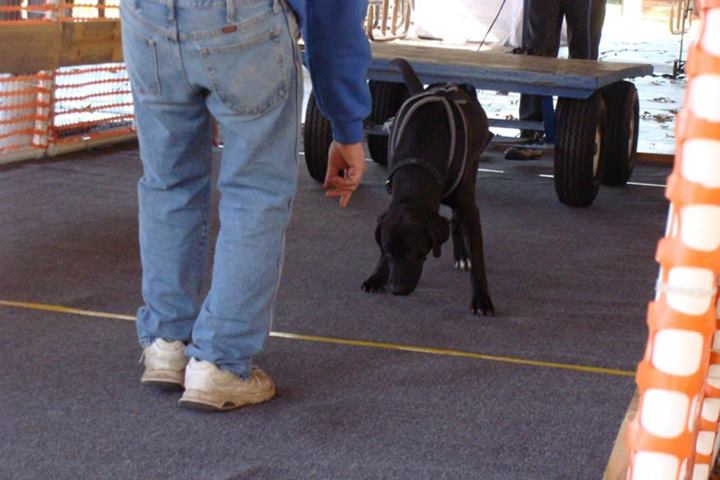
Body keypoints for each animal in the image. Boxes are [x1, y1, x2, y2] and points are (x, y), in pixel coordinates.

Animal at [360, 58, 496, 316]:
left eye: (413, 252)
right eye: (388, 251)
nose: (396, 290)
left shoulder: (470, 208)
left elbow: (479, 258)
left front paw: (482, 299)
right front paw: (377, 276)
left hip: (472, 168)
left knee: (456, 217)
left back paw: (461, 255)